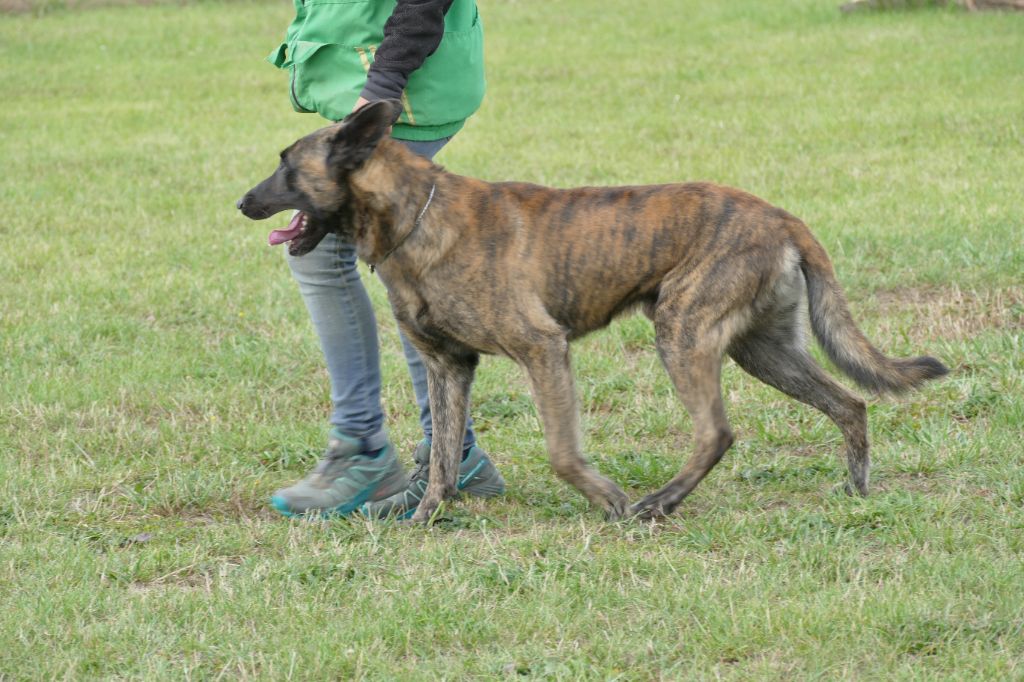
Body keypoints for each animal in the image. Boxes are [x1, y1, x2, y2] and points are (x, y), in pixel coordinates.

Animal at [235, 99, 946, 520]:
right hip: (762, 350)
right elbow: (441, 459)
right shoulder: (448, 368)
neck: (417, 216)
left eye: (286, 166)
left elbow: (561, 452)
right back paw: (855, 491)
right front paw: (425, 516)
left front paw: (607, 498)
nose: (241, 202)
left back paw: (659, 503)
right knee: (849, 404)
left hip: (682, 333)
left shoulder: (543, 350)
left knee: (716, 432)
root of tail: (783, 217)